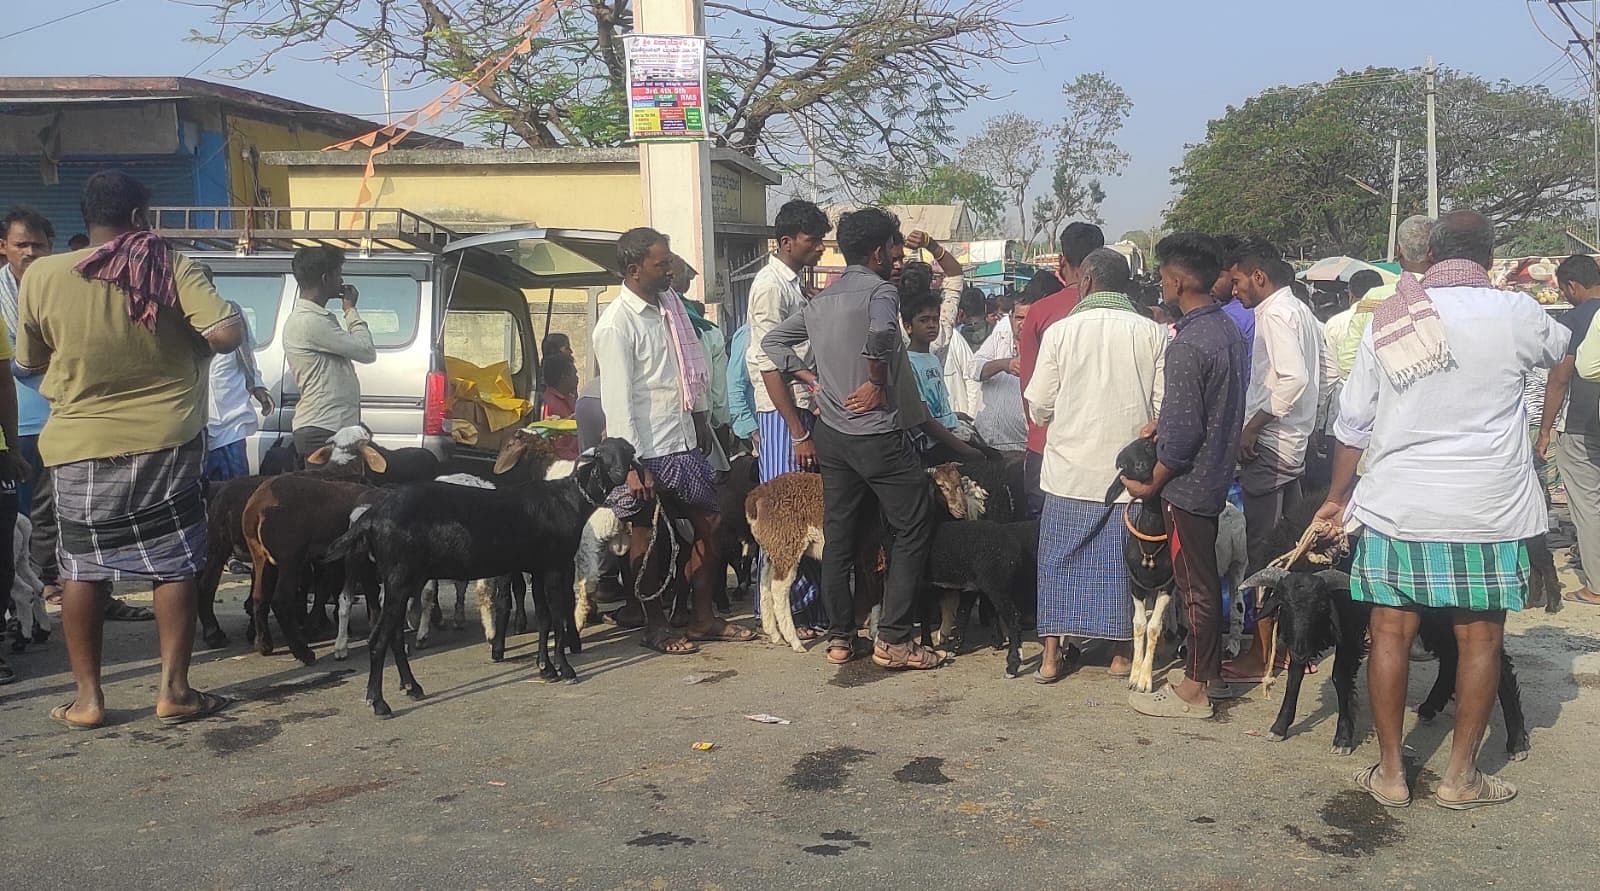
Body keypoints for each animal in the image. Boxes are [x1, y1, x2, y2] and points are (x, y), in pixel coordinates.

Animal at [324, 435, 636, 713]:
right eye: (603, 455)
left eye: (627, 452)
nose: (620, 472)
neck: (567, 499)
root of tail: (372, 515)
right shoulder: (555, 567)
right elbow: (558, 619)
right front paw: (566, 669)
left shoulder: (537, 568)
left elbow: (545, 619)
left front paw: (546, 668)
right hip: (399, 577)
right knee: (379, 640)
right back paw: (378, 702)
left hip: (405, 578)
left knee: (395, 637)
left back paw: (412, 687)